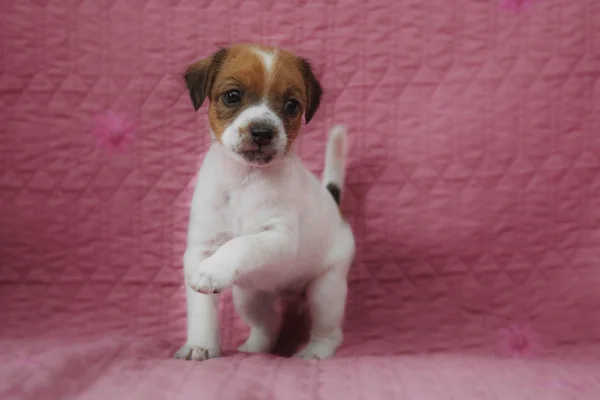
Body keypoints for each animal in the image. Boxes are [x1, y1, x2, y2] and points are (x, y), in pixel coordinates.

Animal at [172, 45, 356, 360]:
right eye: (232, 96)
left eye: (292, 105)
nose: (262, 132)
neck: (244, 181)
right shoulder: (200, 248)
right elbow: (201, 310)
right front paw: (200, 345)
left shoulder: (279, 237)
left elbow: (241, 244)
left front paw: (212, 272)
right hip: (250, 296)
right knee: (270, 323)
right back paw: (255, 349)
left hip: (326, 289)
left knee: (330, 330)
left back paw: (315, 352)